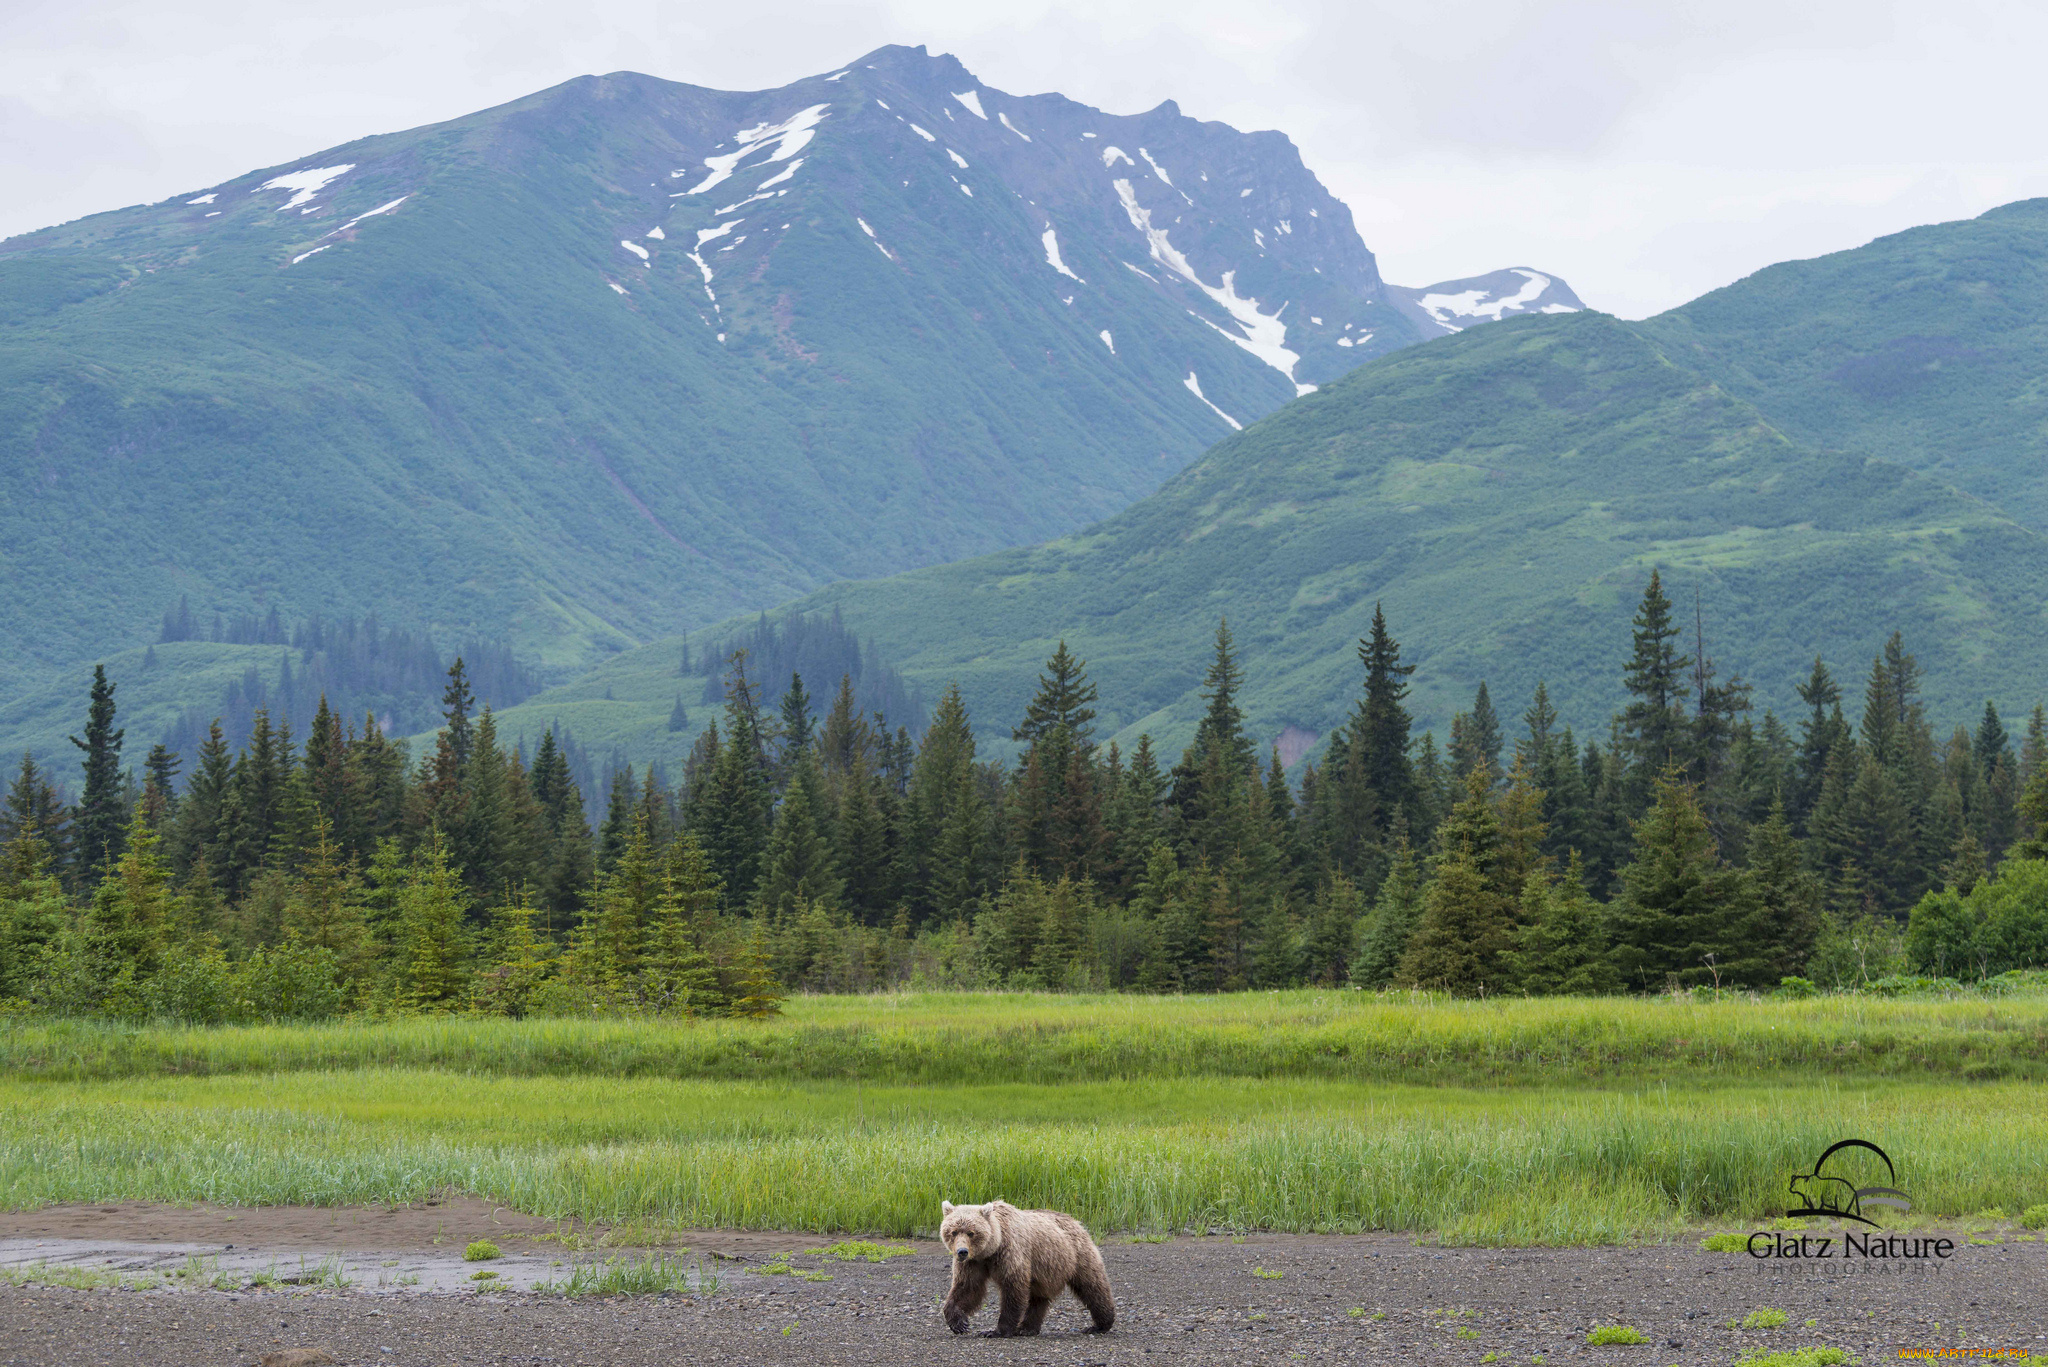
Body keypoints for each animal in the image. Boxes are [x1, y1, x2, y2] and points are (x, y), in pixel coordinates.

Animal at [937, 1196, 1114, 1336]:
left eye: (971, 1232)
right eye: (953, 1231)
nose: (962, 1251)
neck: (991, 1248)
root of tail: (1076, 1221)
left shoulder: (1010, 1254)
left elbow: (1013, 1288)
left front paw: (996, 1331)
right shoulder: (974, 1263)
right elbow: (968, 1288)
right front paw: (959, 1323)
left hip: (1077, 1255)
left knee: (1092, 1285)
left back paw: (1100, 1324)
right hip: (1044, 1269)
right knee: (1038, 1297)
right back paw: (1027, 1328)